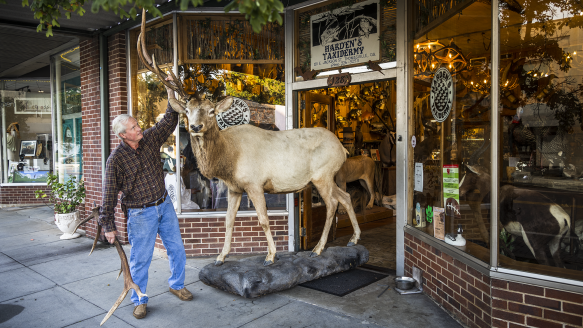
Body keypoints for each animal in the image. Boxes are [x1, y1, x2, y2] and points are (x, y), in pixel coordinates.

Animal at [137, 9, 360, 266]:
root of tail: (342, 148)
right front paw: (221, 256)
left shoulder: (254, 182)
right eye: (187, 111)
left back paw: (318, 248)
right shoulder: (234, 188)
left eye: (211, 111)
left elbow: (263, 219)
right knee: (345, 196)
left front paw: (270, 256)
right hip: (328, 176)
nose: (195, 126)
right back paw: (353, 238)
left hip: (322, 174)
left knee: (333, 203)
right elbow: (228, 220)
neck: (229, 158)